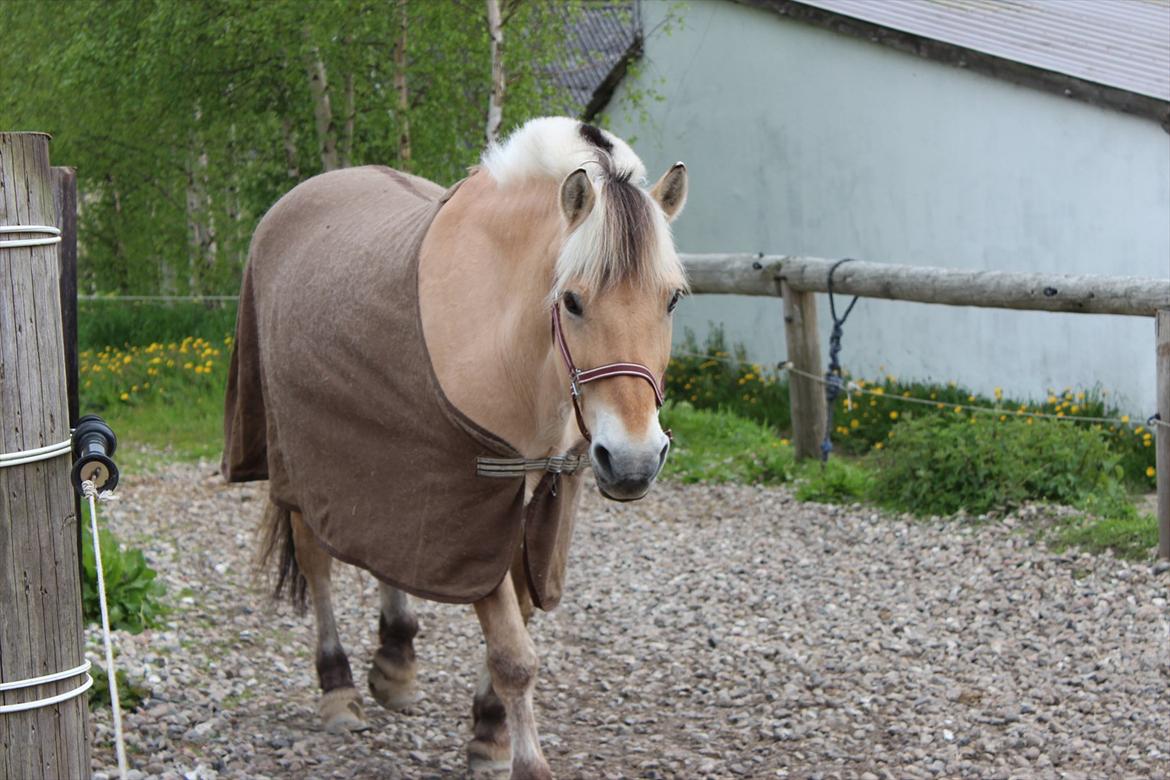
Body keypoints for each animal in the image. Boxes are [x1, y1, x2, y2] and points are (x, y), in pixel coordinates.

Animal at [223, 116, 688, 778]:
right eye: (572, 300)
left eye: (671, 298)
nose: (633, 461)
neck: (511, 347)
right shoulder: (474, 512)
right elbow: (515, 654)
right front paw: (523, 761)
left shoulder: (534, 512)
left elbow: (514, 635)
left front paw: (489, 735)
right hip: (298, 469)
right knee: (317, 562)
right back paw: (337, 688)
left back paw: (395, 664)